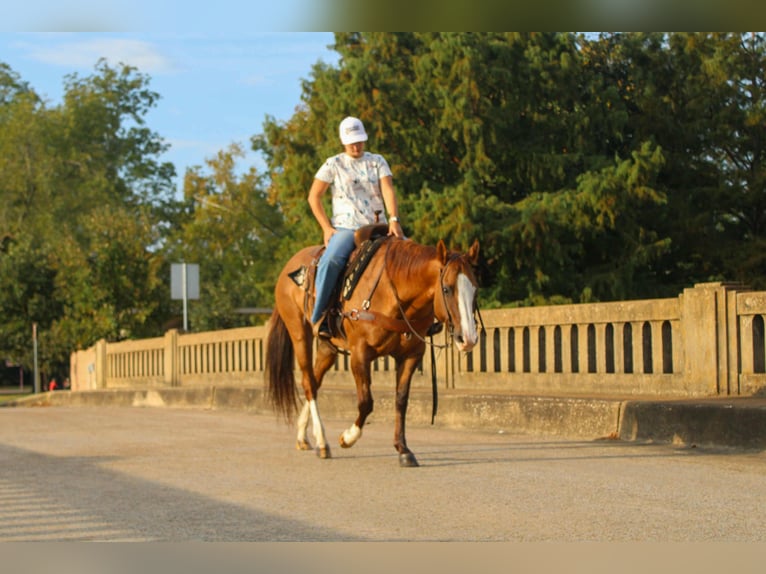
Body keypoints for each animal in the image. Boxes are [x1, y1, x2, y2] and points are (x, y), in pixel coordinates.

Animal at [265, 233, 480, 467]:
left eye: (475, 289)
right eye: (447, 288)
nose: (468, 338)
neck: (392, 293)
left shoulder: (412, 355)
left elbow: (401, 400)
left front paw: (403, 449)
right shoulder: (360, 354)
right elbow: (366, 402)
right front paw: (347, 437)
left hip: (327, 347)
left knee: (314, 380)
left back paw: (303, 436)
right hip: (299, 333)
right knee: (309, 383)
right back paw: (322, 442)